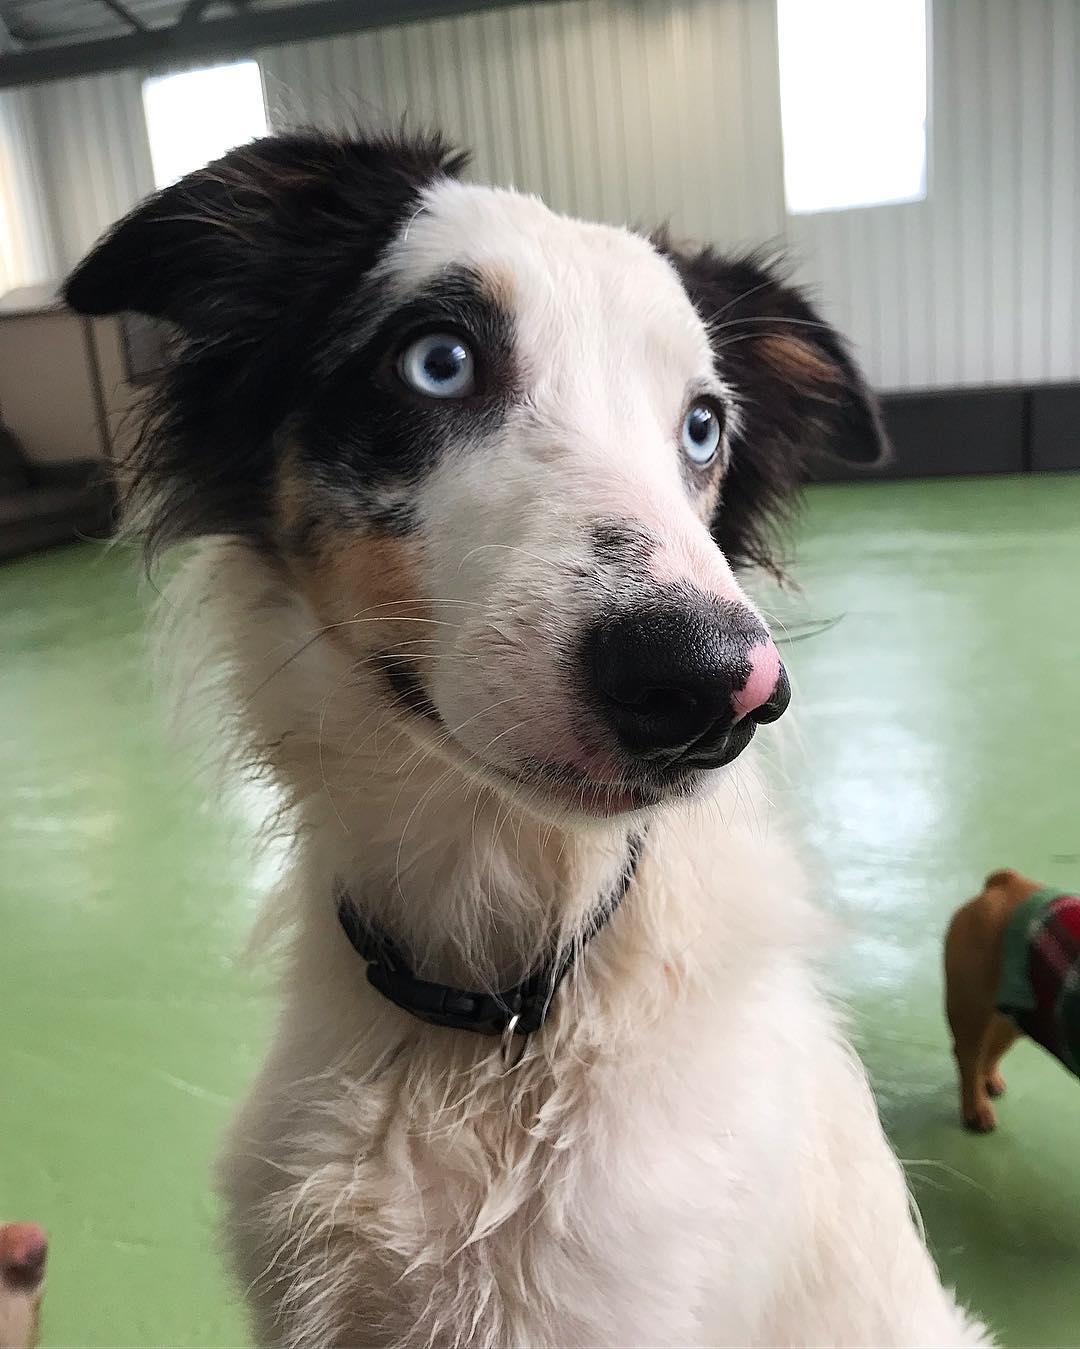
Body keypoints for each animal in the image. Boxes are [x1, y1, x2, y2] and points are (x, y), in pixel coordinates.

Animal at [938, 863, 1073, 1127]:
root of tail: (1005, 882)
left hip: (1015, 1020)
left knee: (988, 1052)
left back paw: (988, 1083)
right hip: (971, 1009)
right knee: (969, 1056)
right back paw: (976, 1109)